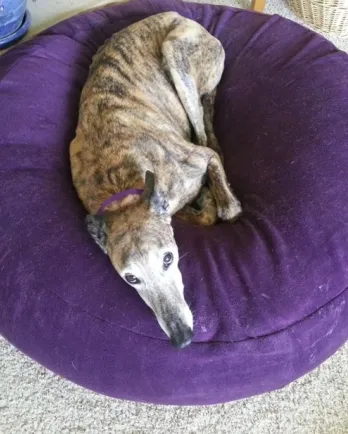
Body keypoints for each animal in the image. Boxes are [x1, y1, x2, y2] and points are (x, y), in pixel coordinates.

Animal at [69, 11, 241, 350]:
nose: (182, 338)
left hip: (177, 55)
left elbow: (224, 206)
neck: (122, 188)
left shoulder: (201, 159)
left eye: (168, 259)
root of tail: (178, 14)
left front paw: (218, 201)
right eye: (131, 278)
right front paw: (202, 203)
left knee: (206, 129)